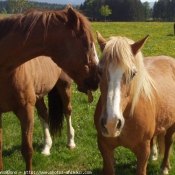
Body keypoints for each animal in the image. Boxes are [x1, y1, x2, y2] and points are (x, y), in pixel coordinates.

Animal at [0, 5, 99, 172]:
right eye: (87, 44)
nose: (97, 79)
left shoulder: (25, 109)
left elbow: (27, 150)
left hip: (64, 86)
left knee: (67, 110)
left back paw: (70, 142)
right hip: (39, 94)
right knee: (44, 114)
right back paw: (47, 147)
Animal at [95, 31, 175, 175]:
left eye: (133, 74)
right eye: (99, 71)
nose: (111, 123)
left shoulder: (142, 152)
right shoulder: (104, 146)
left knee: (169, 141)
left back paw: (164, 167)